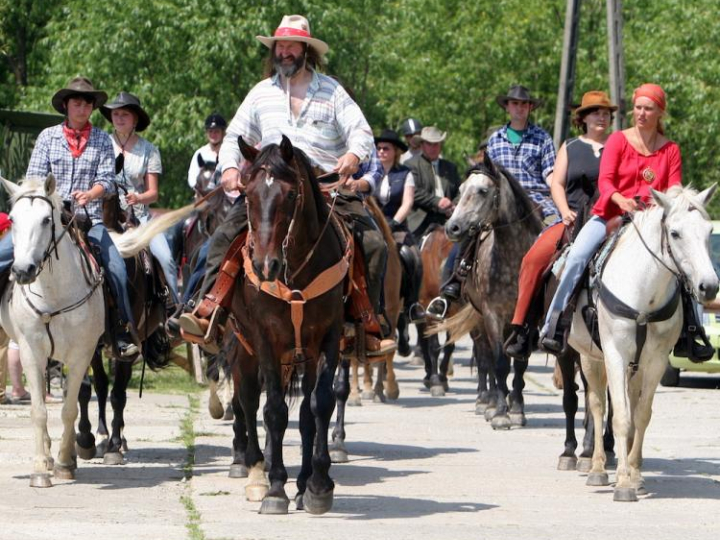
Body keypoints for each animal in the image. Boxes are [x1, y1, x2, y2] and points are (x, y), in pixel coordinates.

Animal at [0, 175, 193, 488]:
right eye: (13, 219)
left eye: (45, 220)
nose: (23, 270)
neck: (54, 292)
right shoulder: (33, 351)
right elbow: (45, 408)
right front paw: (44, 466)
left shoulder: (81, 352)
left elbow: (74, 406)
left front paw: (66, 462)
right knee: (100, 387)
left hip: (122, 346)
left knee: (116, 392)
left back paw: (112, 444)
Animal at [226, 135, 348, 516]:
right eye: (247, 194)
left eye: (291, 195)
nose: (266, 266)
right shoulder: (265, 339)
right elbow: (275, 411)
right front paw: (276, 489)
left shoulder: (326, 338)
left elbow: (319, 405)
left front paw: (318, 485)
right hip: (245, 349)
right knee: (249, 400)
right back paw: (255, 474)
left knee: (306, 412)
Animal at [436, 155, 544, 430]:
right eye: (461, 189)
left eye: (483, 191)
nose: (452, 227)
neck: (514, 258)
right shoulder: (492, 314)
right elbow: (499, 363)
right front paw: (502, 413)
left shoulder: (528, 319)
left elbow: (520, 364)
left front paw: (517, 409)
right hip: (478, 320)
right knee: (485, 357)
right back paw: (487, 401)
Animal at [568, 186, 720, 502]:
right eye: (675, 233)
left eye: (709, 230)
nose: (709, 287)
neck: (644, 294)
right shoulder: (614, 355)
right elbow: (620, 416)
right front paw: (624, 484)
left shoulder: (656, 360)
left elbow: (641, 414)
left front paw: (635, 475)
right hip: (591, 358)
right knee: (598, 405)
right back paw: (597, 467)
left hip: (633, 366)